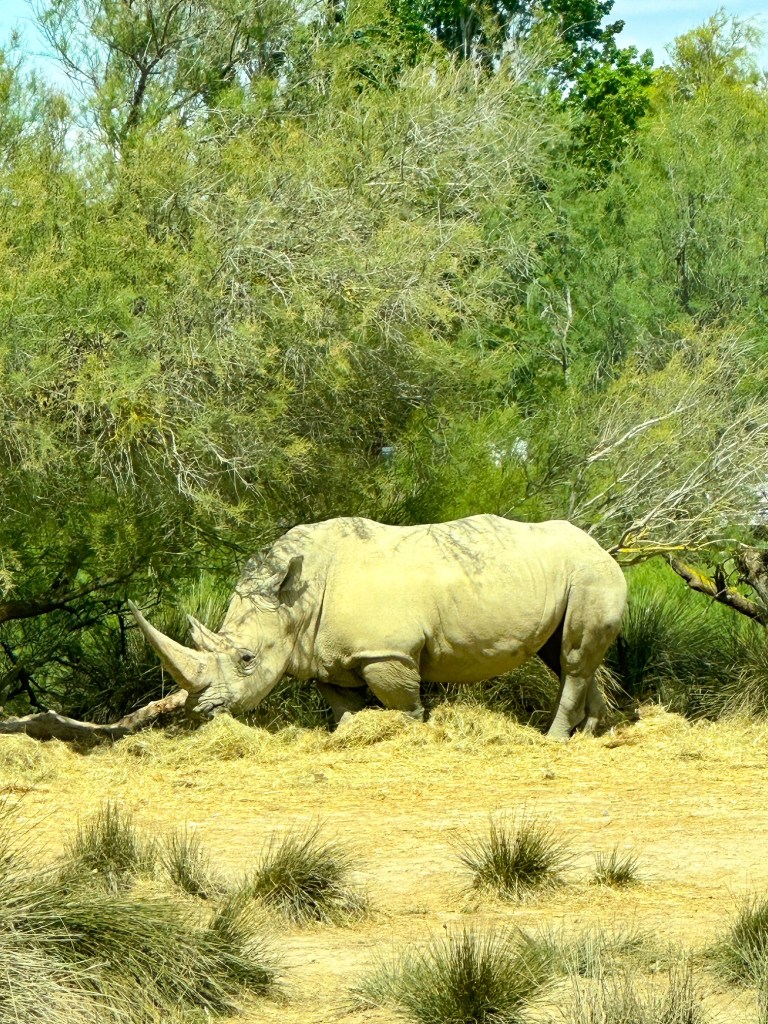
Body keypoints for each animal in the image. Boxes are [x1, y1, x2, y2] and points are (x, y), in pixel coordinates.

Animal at [129, 515, 627, 740]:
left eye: (246, 659)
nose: (201, 713)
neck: (295, 603)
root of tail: (603, 548)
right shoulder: (321, 656)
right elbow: (341, 706)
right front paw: (348, 736)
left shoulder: (387, 652)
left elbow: (402, 704)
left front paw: (412, 734)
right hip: (573, 575)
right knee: (565, 657)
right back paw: (592, 733)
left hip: (592, 576)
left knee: (572, 659)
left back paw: (553, 739)